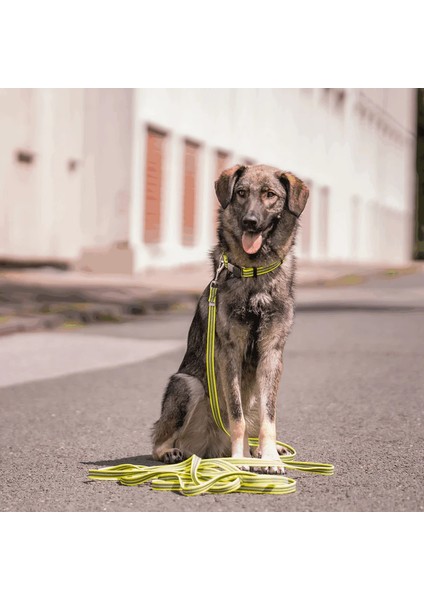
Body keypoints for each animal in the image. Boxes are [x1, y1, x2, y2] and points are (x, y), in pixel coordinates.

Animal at [152, 163, 308, 474]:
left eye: (270, 195)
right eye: (241, 193)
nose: (250, 222)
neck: (255, 274)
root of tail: (212, 449)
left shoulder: (272, 354)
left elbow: (268, 417)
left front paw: (269, 456)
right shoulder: (230, 354)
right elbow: (236, 417)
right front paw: (240, 459)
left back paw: (262, 450)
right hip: (186, 384)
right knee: (158, 438)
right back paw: (174, 452)